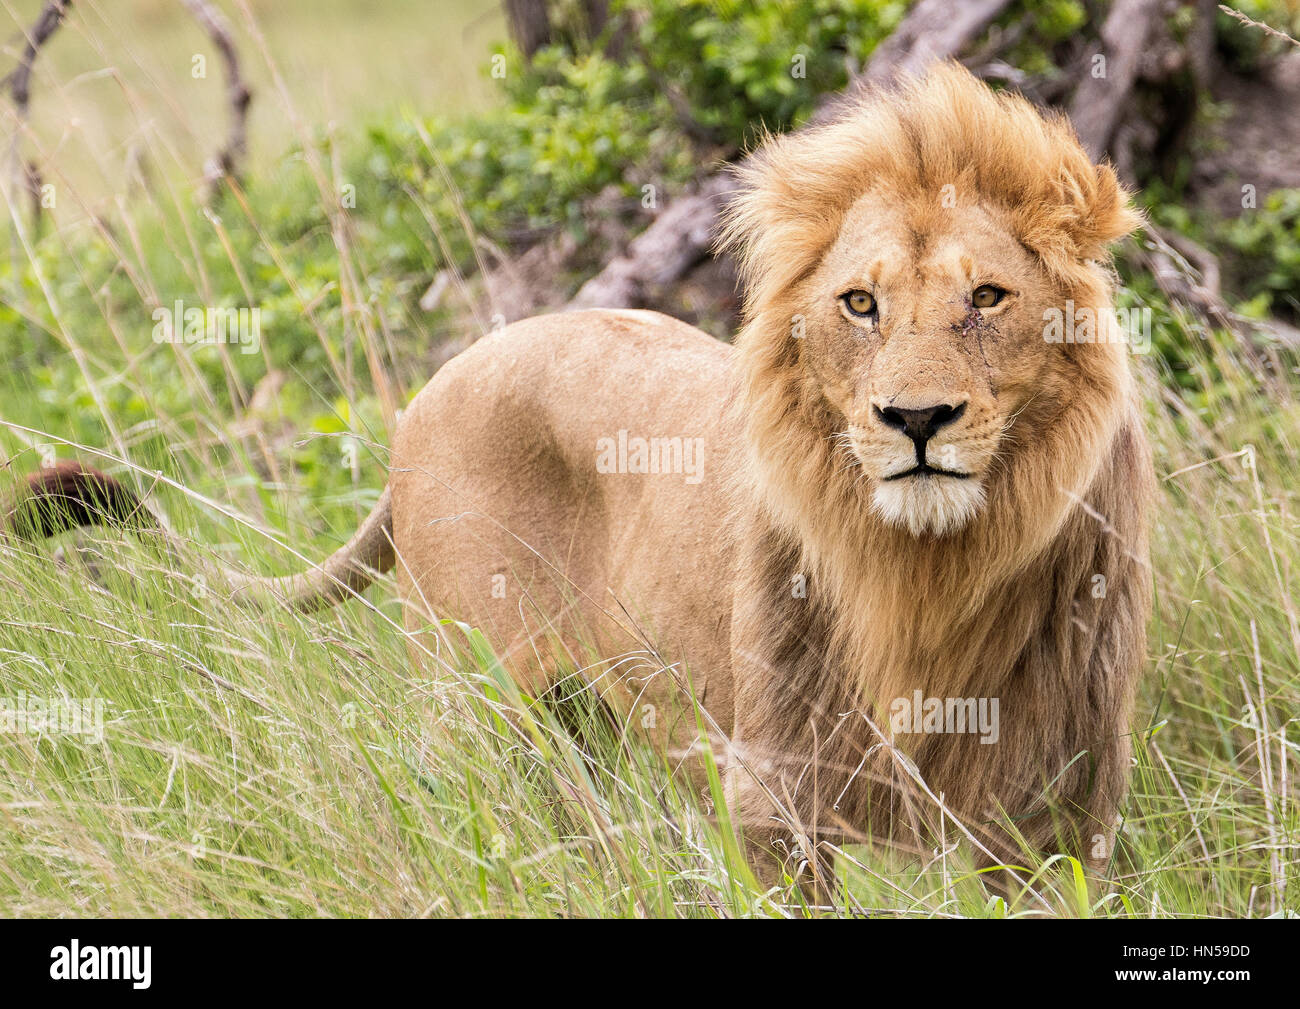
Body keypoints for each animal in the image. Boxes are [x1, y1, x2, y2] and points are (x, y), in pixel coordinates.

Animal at [7, 63, 1149, 884]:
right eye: (860, 304)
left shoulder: (1059, 808)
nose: (914, 419)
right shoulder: (774, 791)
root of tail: (429, 392)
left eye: (987, 297)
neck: (928, 573)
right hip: (475, 698)